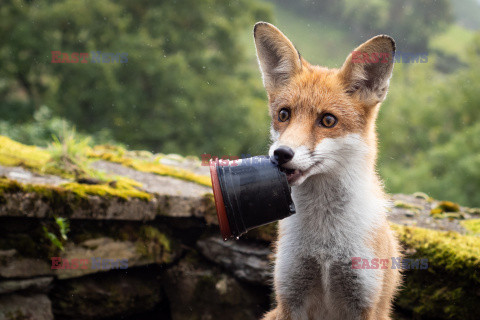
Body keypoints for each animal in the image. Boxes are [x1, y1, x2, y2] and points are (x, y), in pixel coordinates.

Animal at [255, 22, 402, 320]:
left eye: (328, 120)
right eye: (284, 114)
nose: (281, 154)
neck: (325, 246)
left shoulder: (363, 301)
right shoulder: (290, 297)